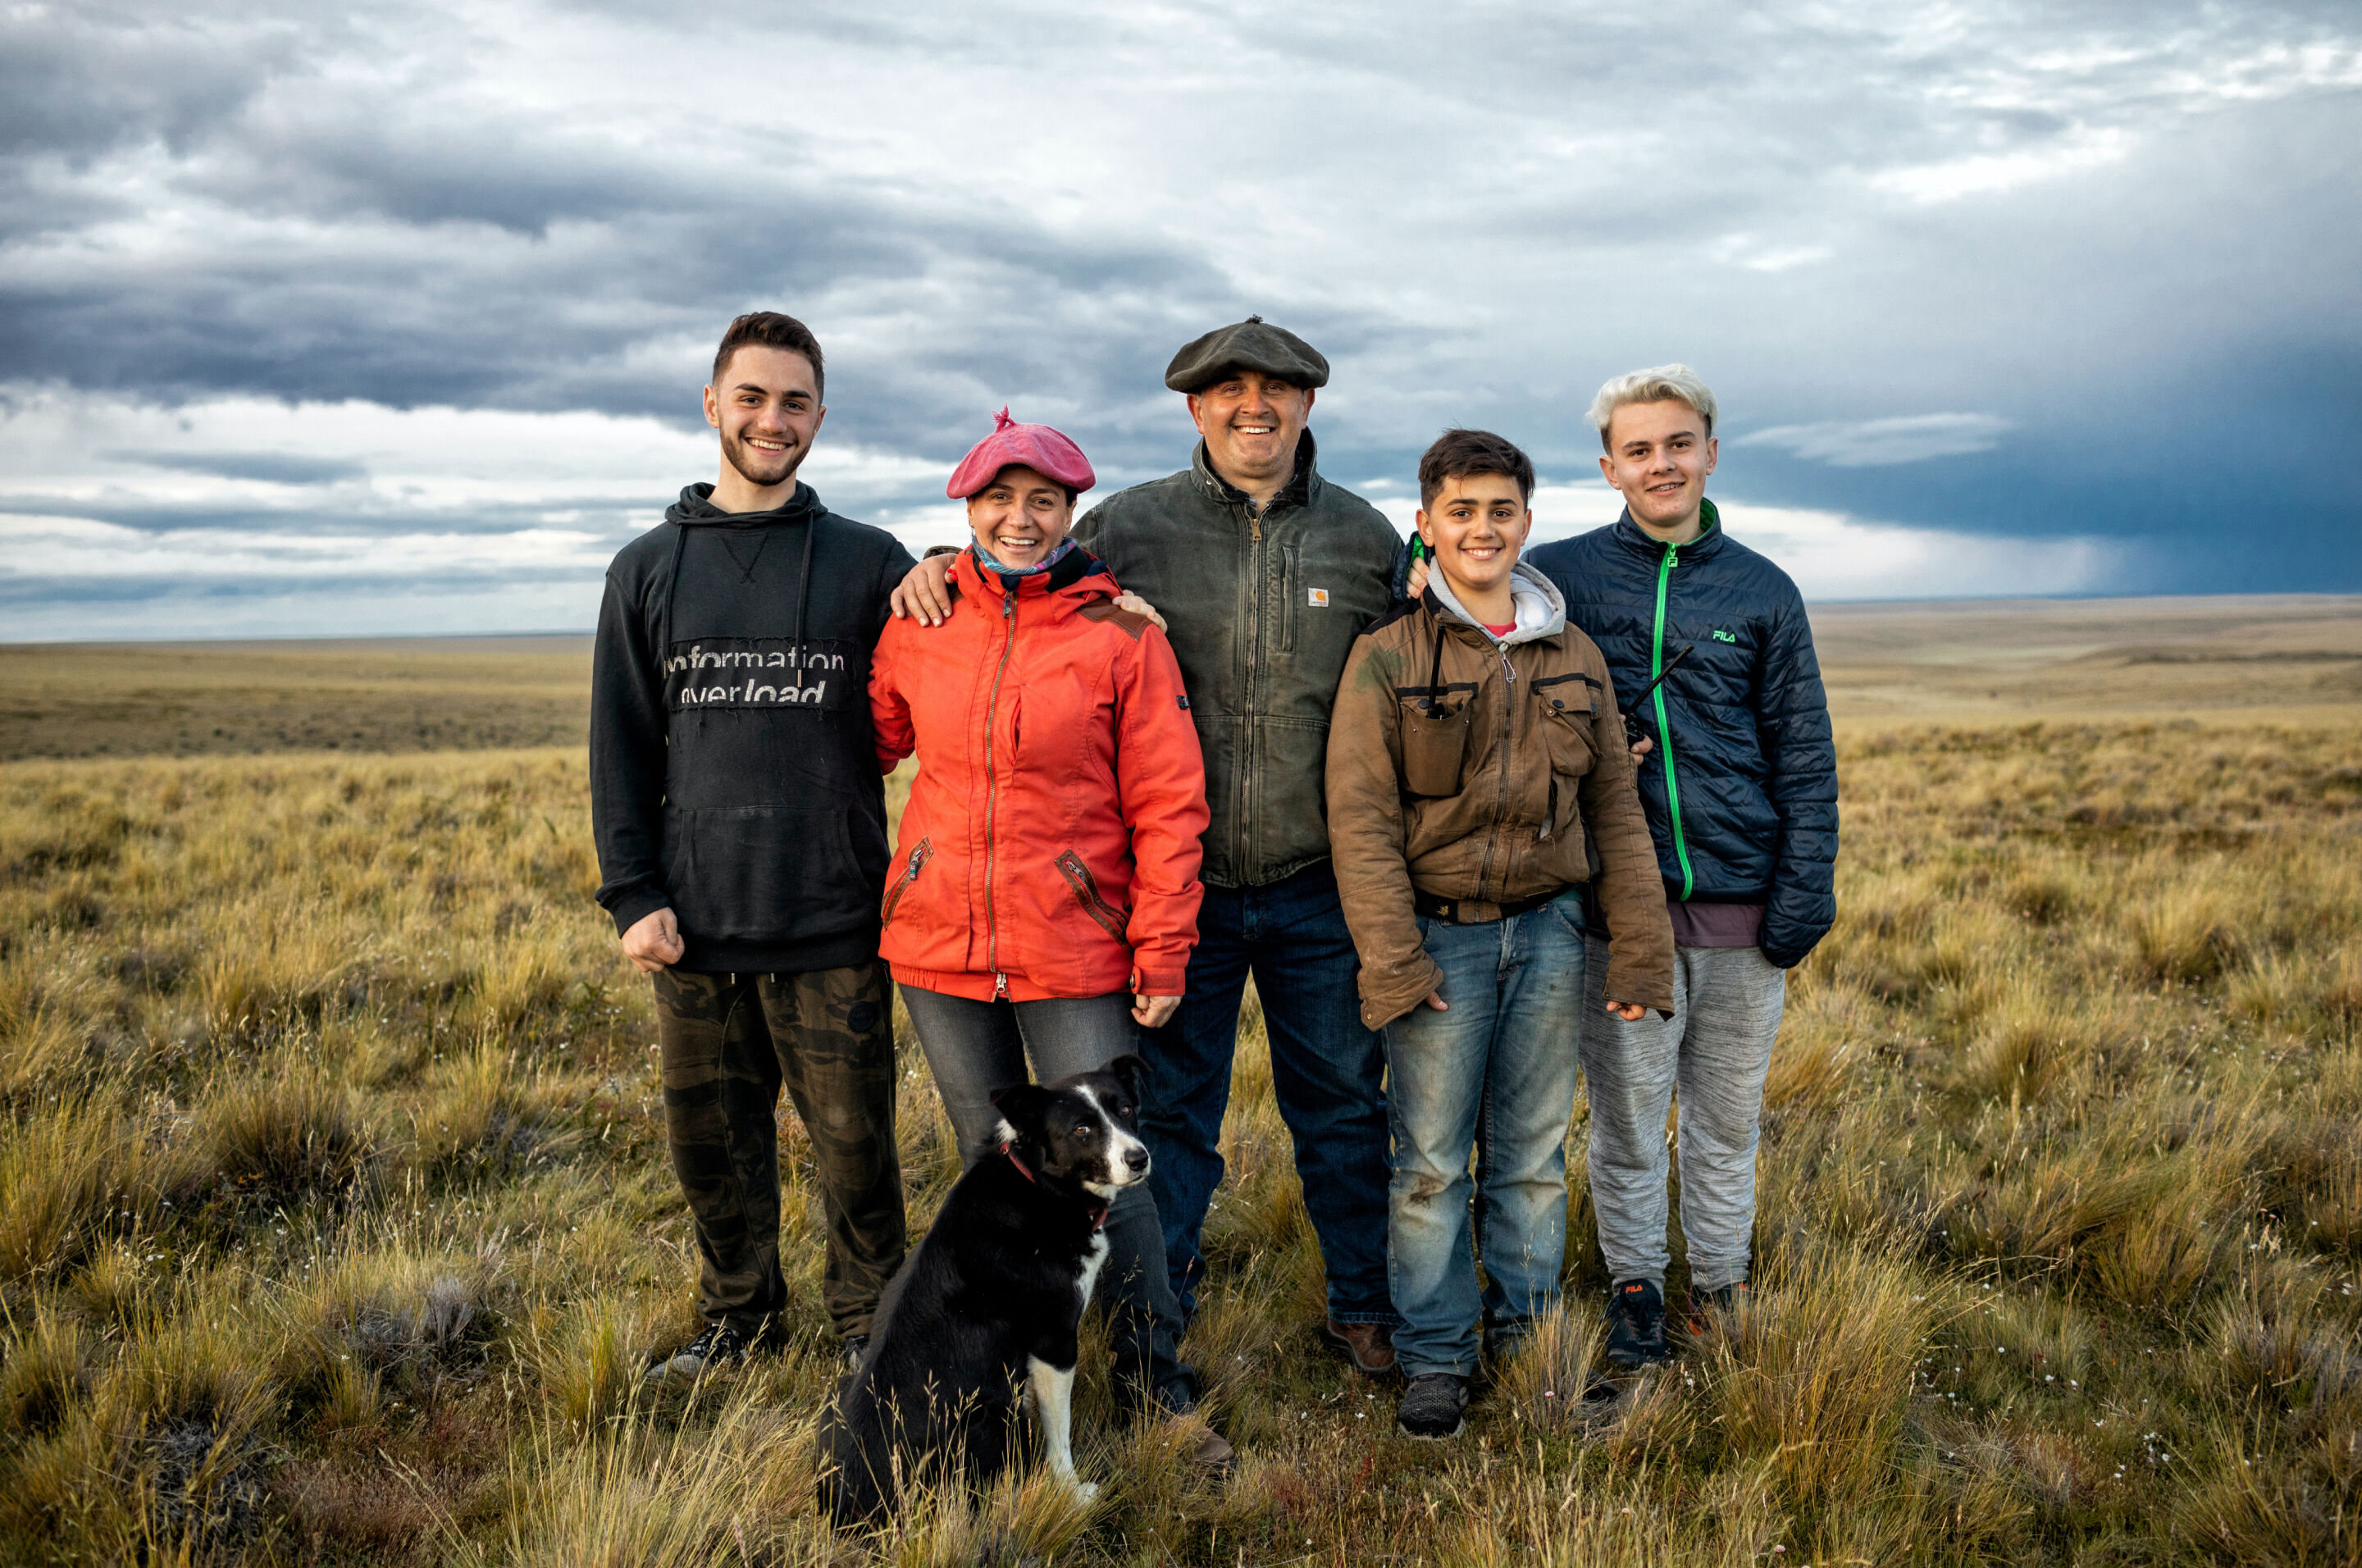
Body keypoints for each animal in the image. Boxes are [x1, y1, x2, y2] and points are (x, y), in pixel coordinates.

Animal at [817, 1048, 1147, 1520]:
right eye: (1082, 1129)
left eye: (1125, 1110)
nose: (1140, 1159)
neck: (1038, 1184)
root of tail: (849, 1505)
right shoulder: (1055, 1343)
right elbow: (1058, 1431)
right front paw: (1070, 1492)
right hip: (991, 1415)